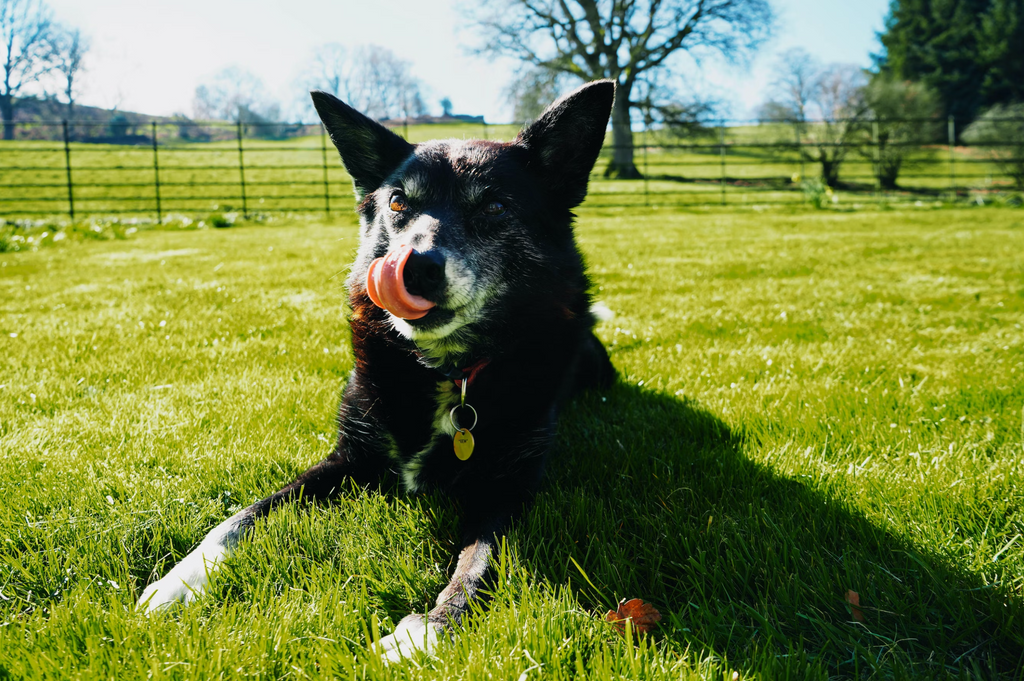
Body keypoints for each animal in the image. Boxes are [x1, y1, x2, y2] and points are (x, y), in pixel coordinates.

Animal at [136, 78, 614, 659]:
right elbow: (240, 518)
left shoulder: (507, 488)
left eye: (496, 206)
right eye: (397, 201)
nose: (414, 267)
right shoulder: (348, 458)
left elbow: (477, 565)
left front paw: (427, 631)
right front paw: (181, 579)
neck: (445, 372)